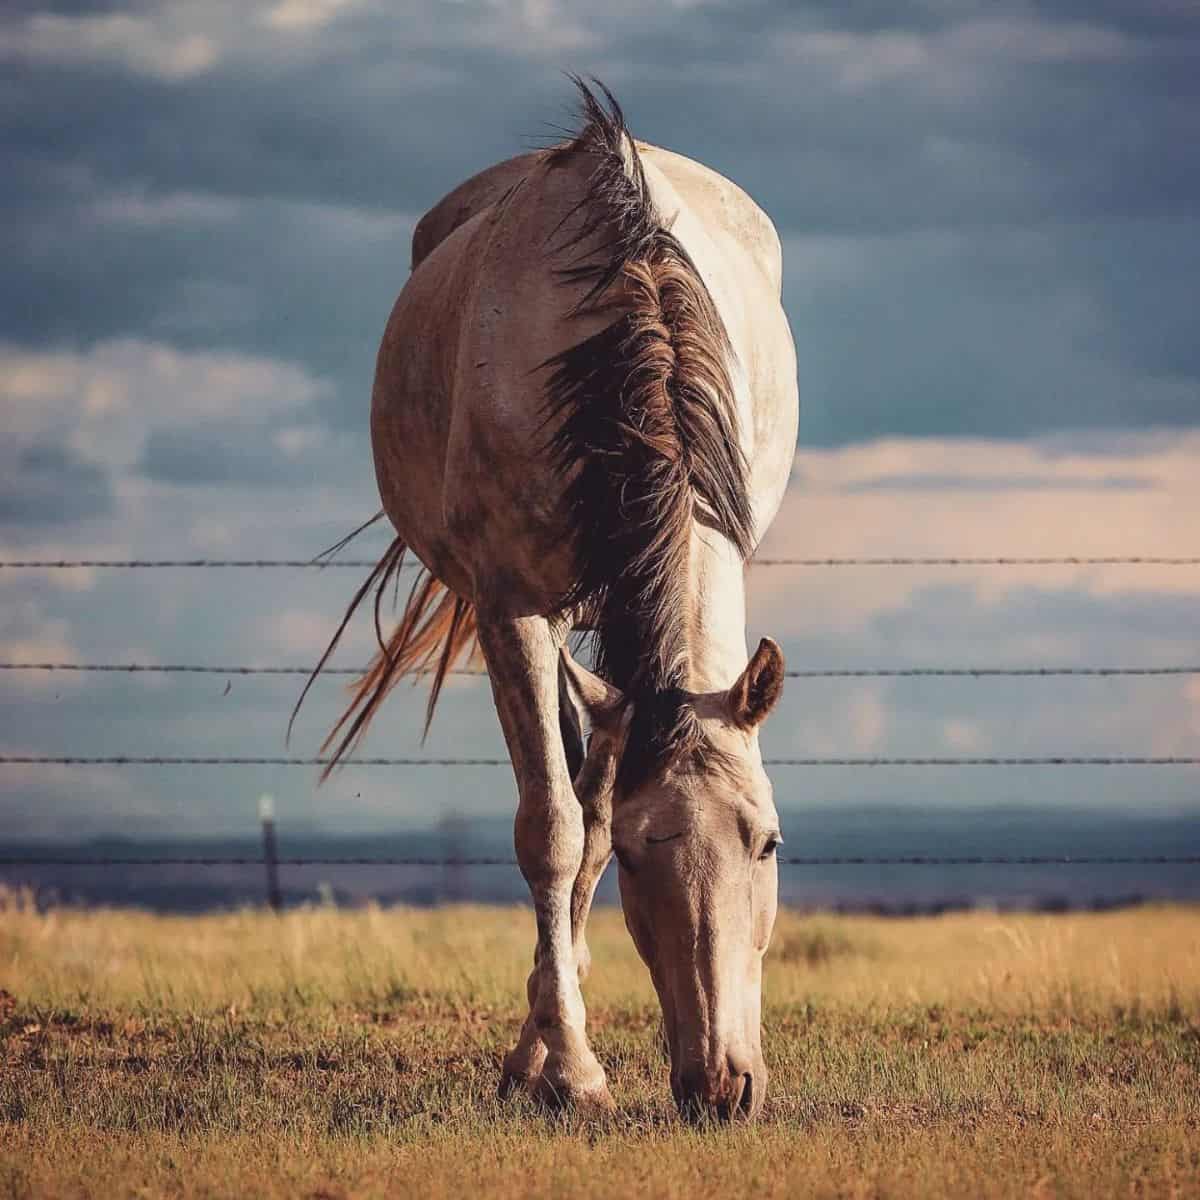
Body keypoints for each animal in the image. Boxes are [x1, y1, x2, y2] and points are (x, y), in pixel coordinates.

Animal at [304, 79, 798, 1120]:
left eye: (769, 844)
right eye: (652, 861)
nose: (722, 1087)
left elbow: (589, 821)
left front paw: (548, 1053)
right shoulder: (511, 609)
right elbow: (558, 833)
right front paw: (571, 1070)